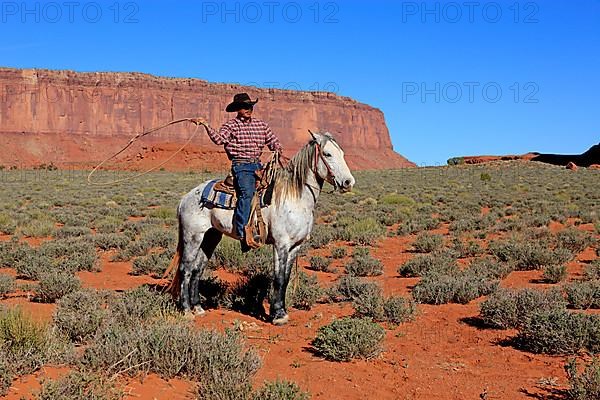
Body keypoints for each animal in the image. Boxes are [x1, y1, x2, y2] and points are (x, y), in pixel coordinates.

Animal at [164, 131, 354, 324]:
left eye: (342, 153)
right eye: (328, 154)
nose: (348, 182)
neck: (295, 197)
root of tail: (186, 198)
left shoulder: (295, 246)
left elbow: (286, 278)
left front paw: (281, 311)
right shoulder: (281, 244)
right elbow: (278, 278)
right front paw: (278, 315)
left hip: (211, 237)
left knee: (197, 269)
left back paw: (198, 308)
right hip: (193, 236)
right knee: (185, 269)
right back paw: (186, 310)